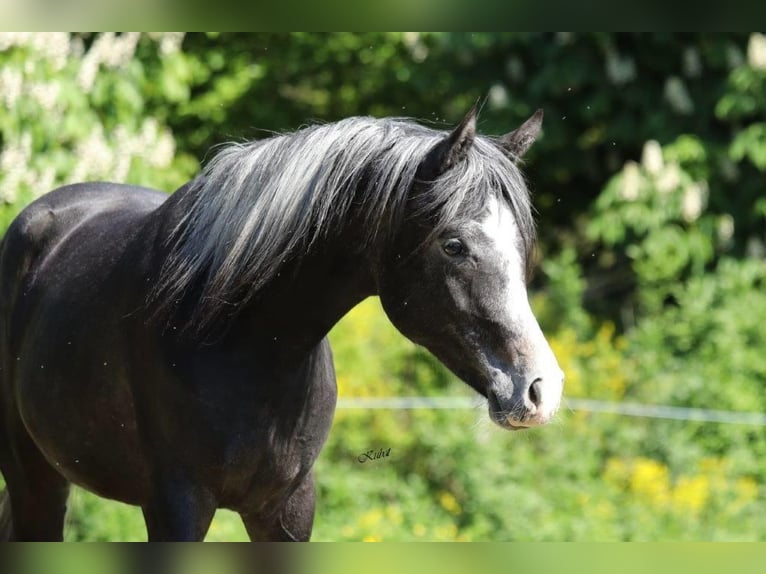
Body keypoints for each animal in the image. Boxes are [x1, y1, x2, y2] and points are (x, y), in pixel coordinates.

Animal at [0, 106, 563, 541]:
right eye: (454, 245)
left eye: (521, 245)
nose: (541, 389)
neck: (243, 340)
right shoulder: (175, 506)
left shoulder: (288, 508)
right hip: (34, 481)